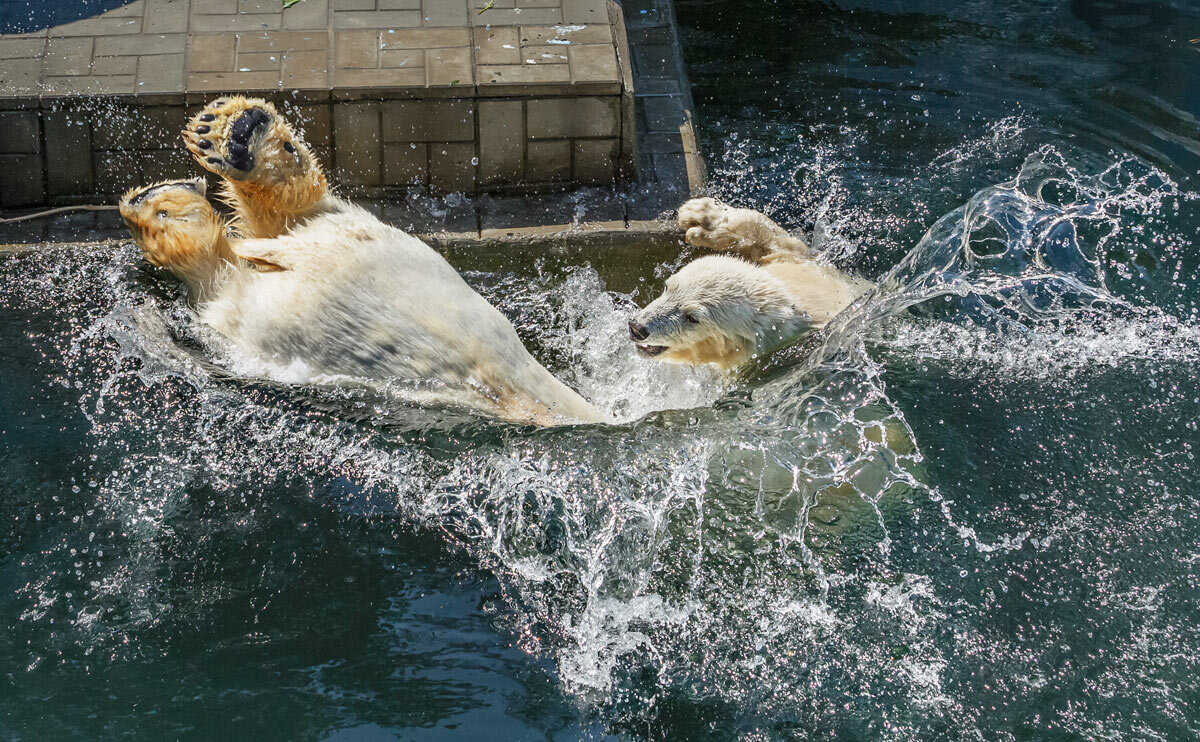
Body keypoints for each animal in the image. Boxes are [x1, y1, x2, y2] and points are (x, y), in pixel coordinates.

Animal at [628, 198, 873, 367]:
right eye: (668, 287)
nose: (637, 328)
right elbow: (779, 242)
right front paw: (702, 215)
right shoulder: (814, 270)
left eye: (692, 317)